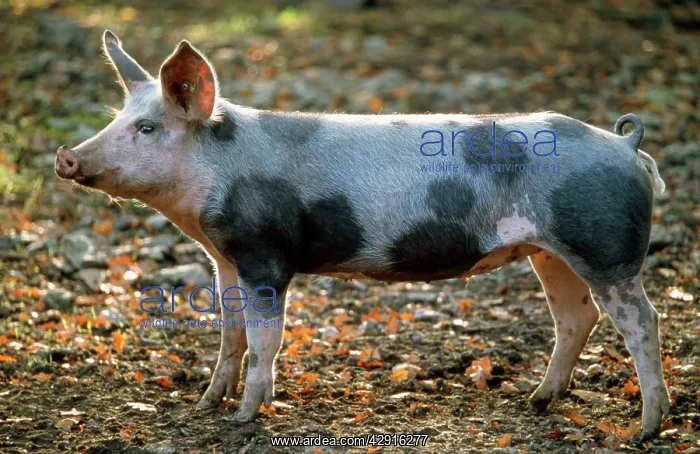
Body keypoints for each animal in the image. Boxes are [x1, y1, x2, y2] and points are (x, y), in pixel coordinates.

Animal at [56, 30, 669, 439]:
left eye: (147, 127)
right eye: (115, 118)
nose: (66, 157)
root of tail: (627, 146)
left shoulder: (265, 255)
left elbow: (264, 339)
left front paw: (245, 418)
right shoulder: (223, 259)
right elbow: (230, 335)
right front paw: (207, 405)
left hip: (605, 247)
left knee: (641, 320)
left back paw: (644, 430)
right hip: (551, 252)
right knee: (576, 317)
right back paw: (537, 403)